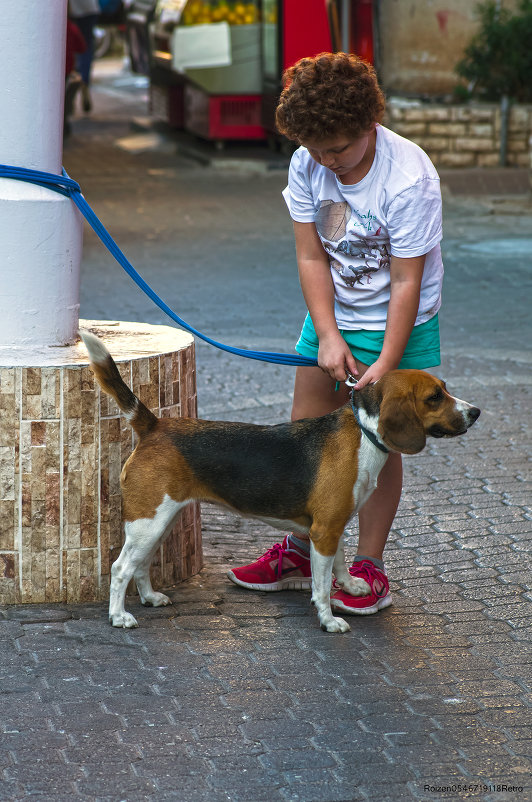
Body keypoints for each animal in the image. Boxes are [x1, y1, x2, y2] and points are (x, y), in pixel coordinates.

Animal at [80, 330, 482, 632]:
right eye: (434, 397)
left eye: (445, 388)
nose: (476, 412)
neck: (365, 434)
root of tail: (154, 425)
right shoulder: (324, 530)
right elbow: (321, 584)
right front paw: (328, 620)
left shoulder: (332, 526)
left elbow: (338, 563)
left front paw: (351, 586)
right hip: (148, 522)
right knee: (120, 568)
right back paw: (119, 616)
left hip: (158, 522)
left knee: (140, 564)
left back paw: (150, 598)